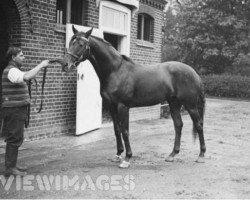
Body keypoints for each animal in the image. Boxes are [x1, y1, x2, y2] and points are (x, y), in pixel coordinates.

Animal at [59, 26, 206, 167]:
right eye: (70, 42)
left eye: (81, 44)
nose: (66, 64)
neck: (116, 71)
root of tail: (194, 73)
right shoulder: (111, 106)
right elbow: (117, 129)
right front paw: (118, 154)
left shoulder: (123, 107)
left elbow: (125, 131)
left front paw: (127, 158)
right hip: (174, 103)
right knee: (178, 125)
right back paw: (172, 155)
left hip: (190, 105)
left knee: (198, 125)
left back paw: (201, 156)